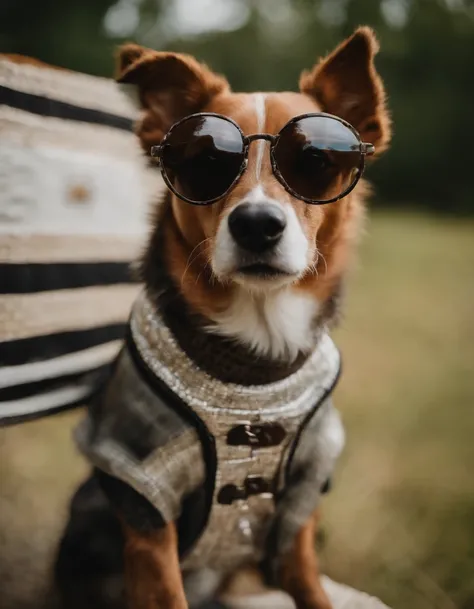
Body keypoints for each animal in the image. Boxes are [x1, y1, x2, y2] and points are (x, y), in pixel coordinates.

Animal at [55, 25, 388, 608]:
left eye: (316, 161)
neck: (255, 352)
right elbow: (166, 592)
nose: (256, 223)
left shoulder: (305, 489)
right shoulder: (142, 495)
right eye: (204, 162)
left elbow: (309, 583)